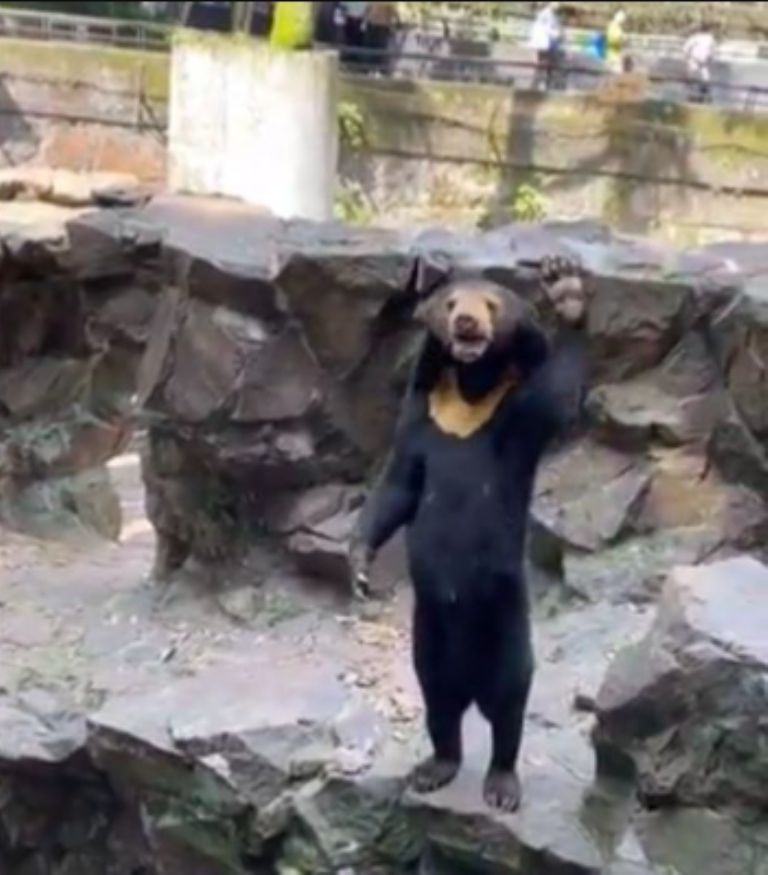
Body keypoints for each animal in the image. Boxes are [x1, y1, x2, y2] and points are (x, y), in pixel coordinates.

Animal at [348, 256, 589, 812]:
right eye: (452, 302)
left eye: (493, 305)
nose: (466, 324)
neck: (470, 393)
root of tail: (470, 684)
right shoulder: (422, 412)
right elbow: (399, 485)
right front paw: (359, 568)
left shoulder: (517, 415)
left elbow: (559, 399)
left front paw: (566, 287)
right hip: (428, 636)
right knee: (439, 702)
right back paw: (434, 768)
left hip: (505, 622)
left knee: (509, 702)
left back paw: (501, 785)